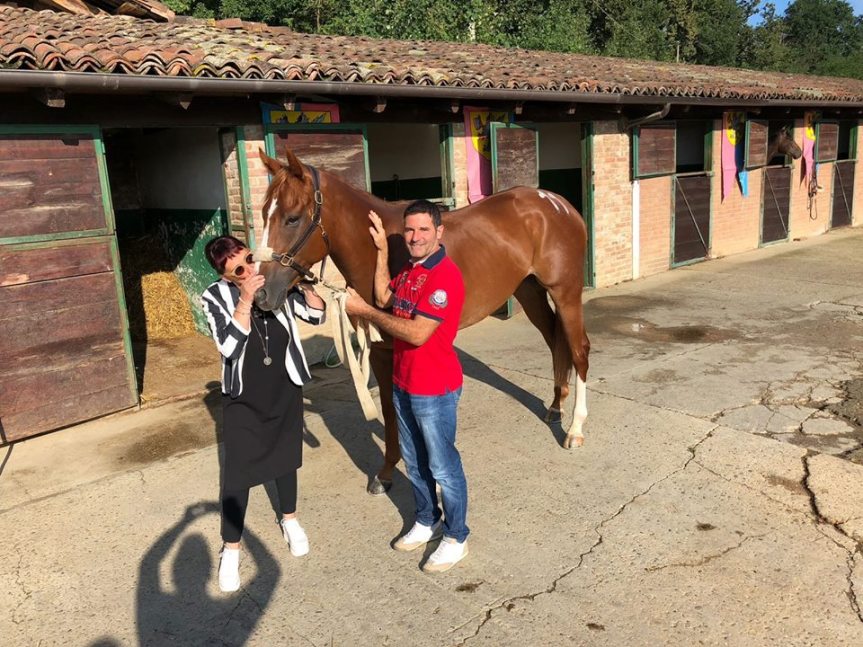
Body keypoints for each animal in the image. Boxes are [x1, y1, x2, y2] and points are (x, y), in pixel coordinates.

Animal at [254, 148, 590, 495]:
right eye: (264, 214)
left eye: (293, 218)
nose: (262, 294)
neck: (378, 251)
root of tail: (556, 203)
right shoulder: (381, 350)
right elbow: (390, 409)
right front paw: (387, 473)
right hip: (529, 291)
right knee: (555, 343)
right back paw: (555, 407)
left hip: (566, 292)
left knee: (578, 350)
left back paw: (575, 429)